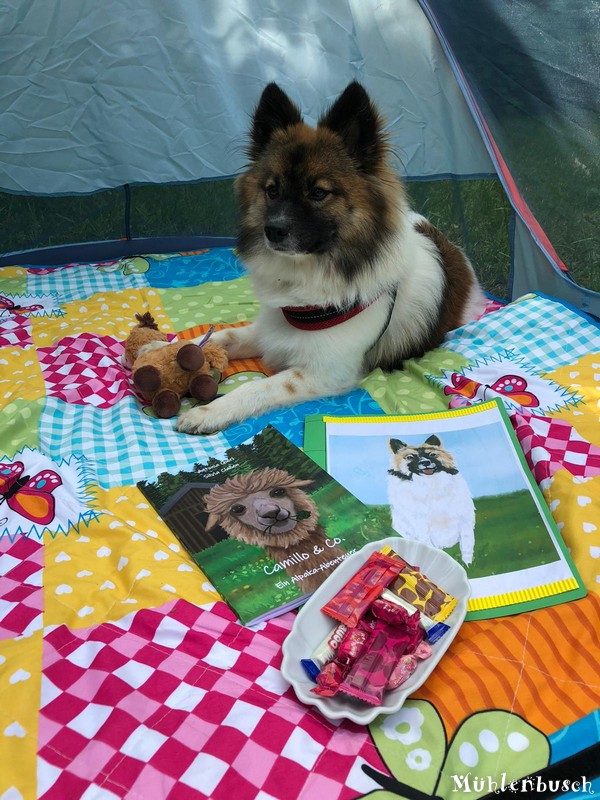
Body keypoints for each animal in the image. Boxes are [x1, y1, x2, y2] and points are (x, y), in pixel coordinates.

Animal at [176, 81, 486, 438]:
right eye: (272, 190)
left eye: (319, 192)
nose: (273, 230)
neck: (310, 276)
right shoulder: (272, 328)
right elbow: (224, 336)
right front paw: (158, 349)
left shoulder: (323, 372)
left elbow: (259, 387)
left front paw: (209, 412)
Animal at [386, 434, 476, 564]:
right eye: (410, 457)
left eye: (432, 455)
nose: (426, 462)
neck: (429, 485)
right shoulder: (420, 525)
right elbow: (427, 545)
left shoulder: (465, 520)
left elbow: (467, 543)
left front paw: (468, 563)